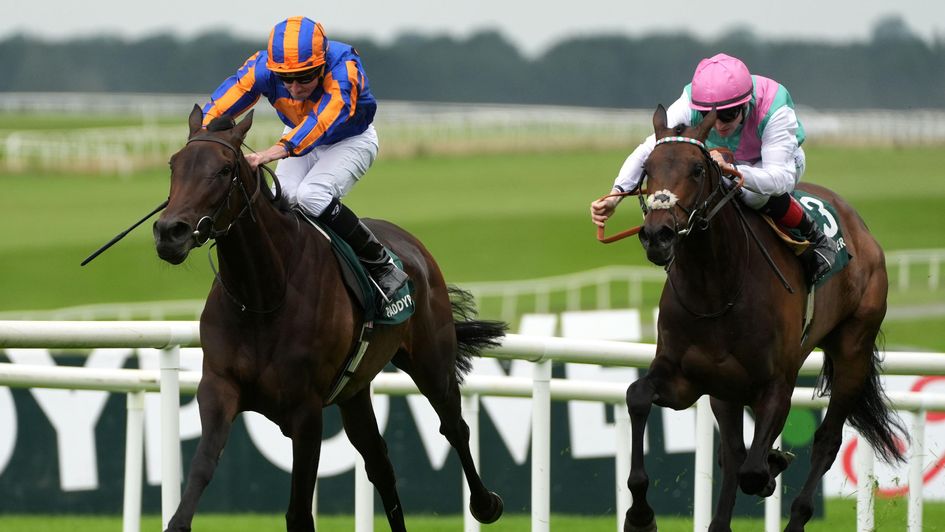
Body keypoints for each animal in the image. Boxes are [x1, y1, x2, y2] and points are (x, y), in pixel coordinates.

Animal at [152, 105, 506, 532]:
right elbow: (203, 466)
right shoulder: (219, 387)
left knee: (454, 426)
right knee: (380, 464)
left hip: (431, 362)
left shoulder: (305, 412)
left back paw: (486, 504)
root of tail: (415, 246)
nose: (170, 232)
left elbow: (299, 513)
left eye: (223, 170)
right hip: (354, 391)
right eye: (174, 164)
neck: (263, 296)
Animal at [620, 106, 905, 532]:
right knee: (733, 451)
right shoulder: (685, 378)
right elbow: (637, 396)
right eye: (648, 169)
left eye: (697, 170)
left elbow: (754, 471)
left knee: (826, 440)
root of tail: (860, 227)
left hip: (852, 349)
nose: (658, 236)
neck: (716, 289)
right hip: (725, 389)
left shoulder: (776, 384)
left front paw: (772, 466)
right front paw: (640, 515)